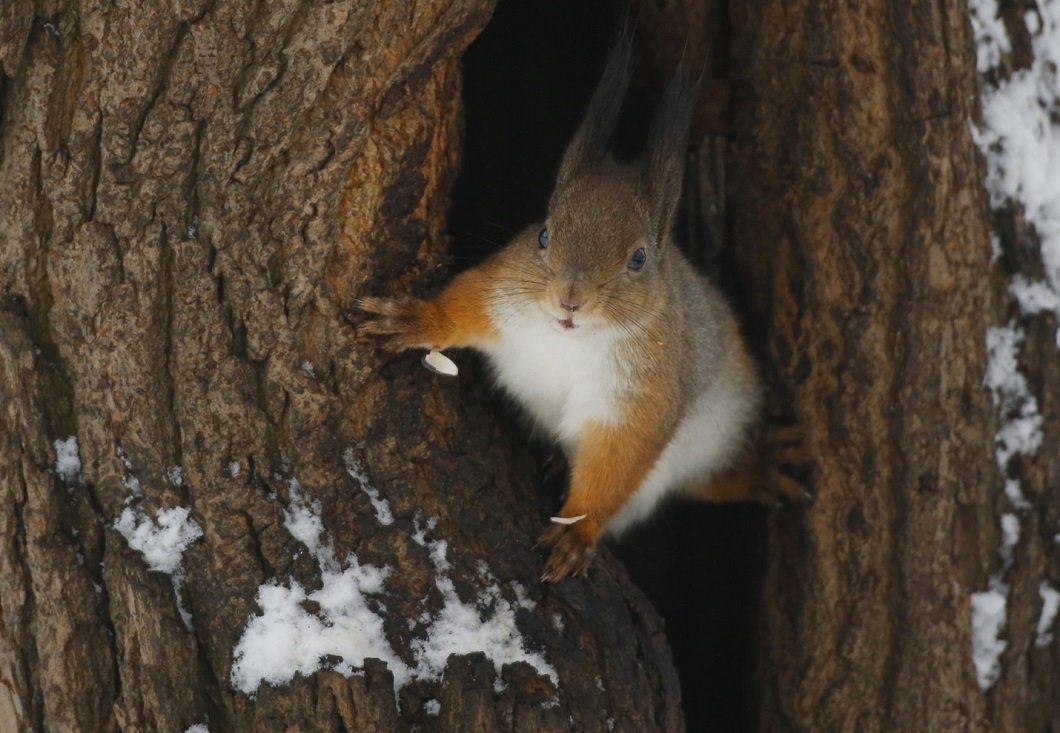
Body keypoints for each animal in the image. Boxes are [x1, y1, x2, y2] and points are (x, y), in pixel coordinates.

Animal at [360, 42, 797, 580]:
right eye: (544, 234)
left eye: (639, 259)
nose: (570, 299)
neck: (570, 339)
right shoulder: (502, 291)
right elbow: (463, 305)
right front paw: (416, 319)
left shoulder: (643, 394)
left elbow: (618, 461)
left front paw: (576, 534)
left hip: (719, 430)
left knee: (709, 477)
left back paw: (759, 467)